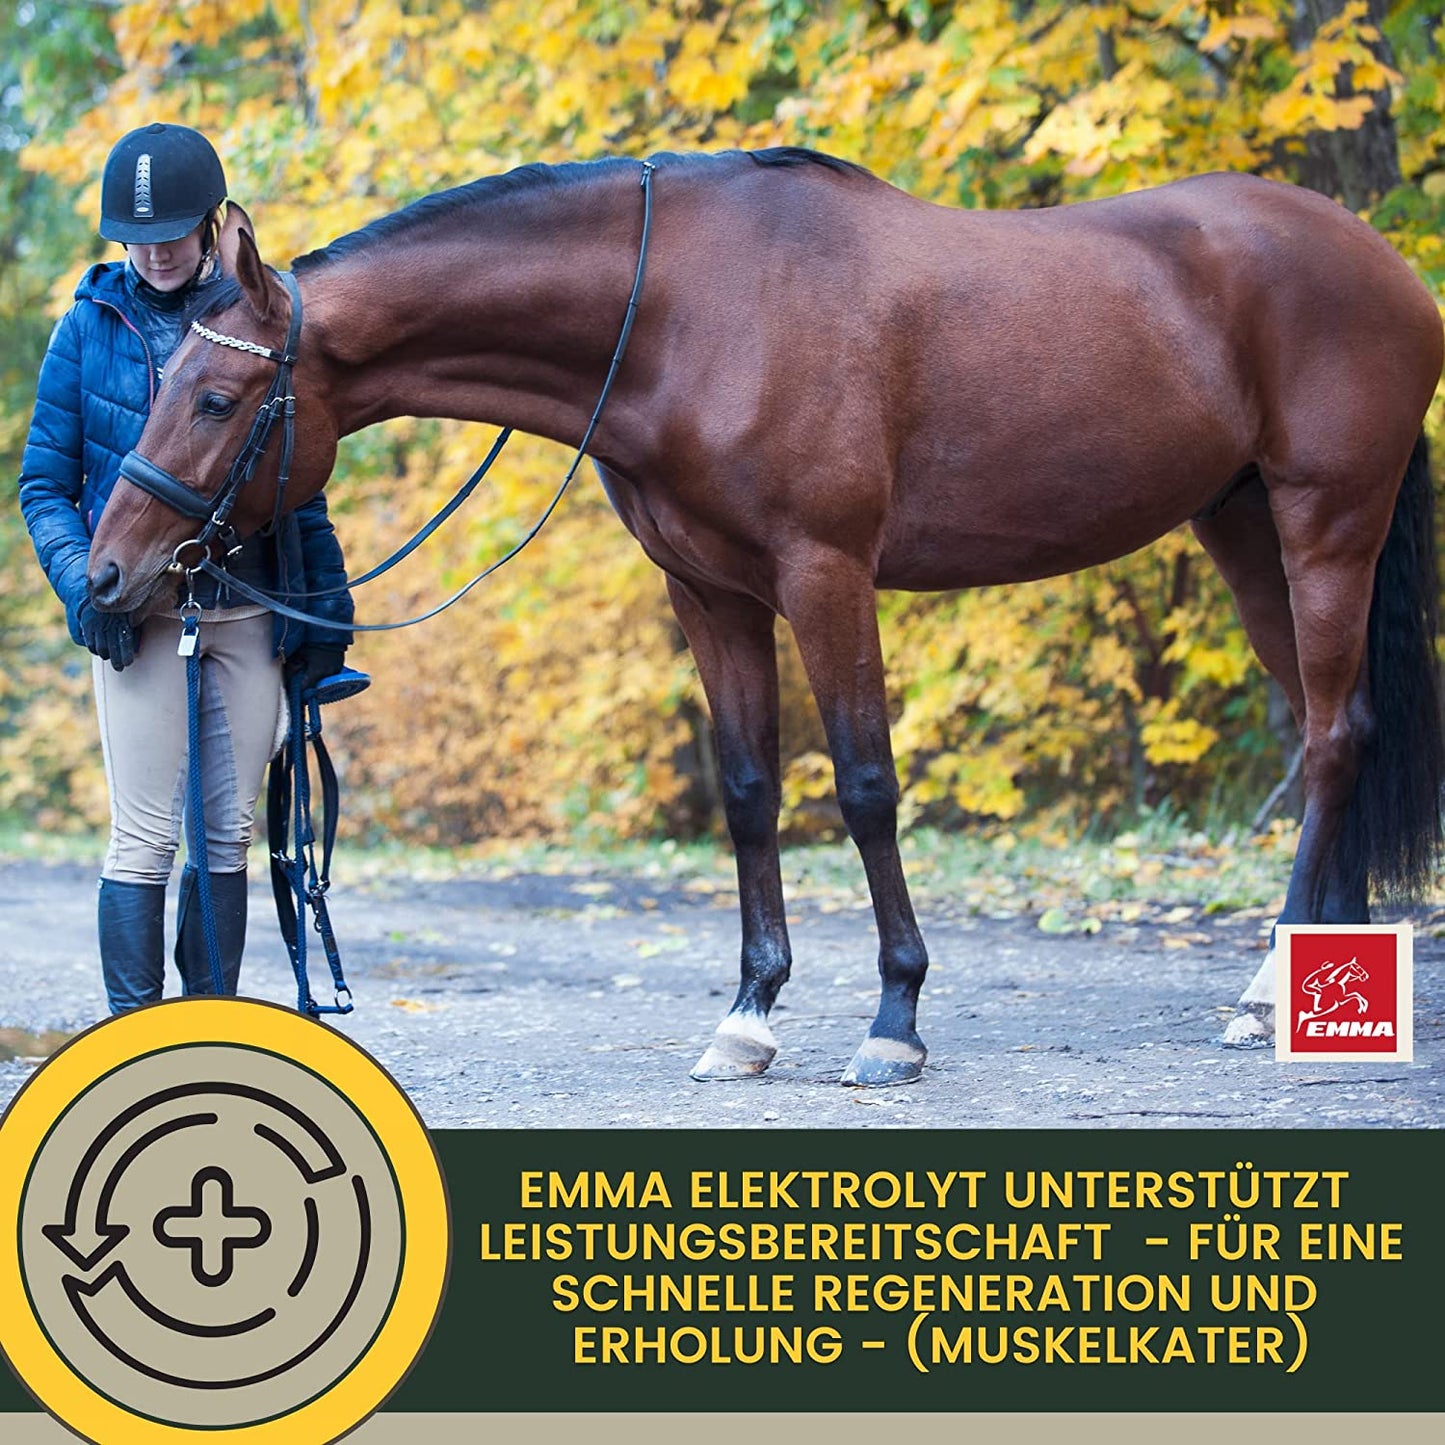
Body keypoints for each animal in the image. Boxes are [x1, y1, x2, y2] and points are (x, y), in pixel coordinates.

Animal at [85, 147, 1444, 1087]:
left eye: (214, 397)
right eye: (157, 380)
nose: (107, 574)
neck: (682, 312)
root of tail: (1380, 261)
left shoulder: (824, 573)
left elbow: (861, 784)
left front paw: (893, 1021)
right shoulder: (712, 592)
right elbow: (748, 789)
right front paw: (747, 1018)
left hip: (1325, 523)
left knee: (1330, 739)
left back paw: (1265, 991)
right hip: (1244, 533)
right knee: (1335, 730)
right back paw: (1305, 987)